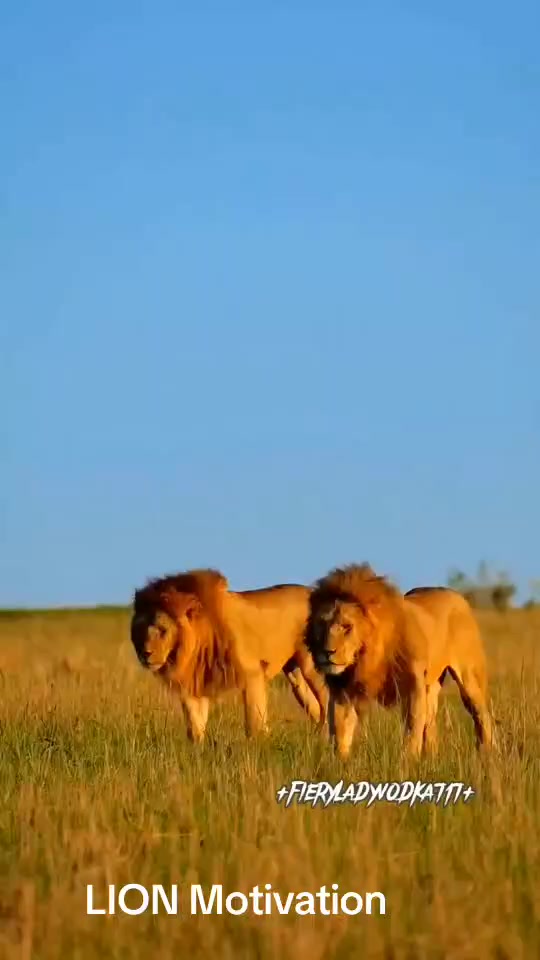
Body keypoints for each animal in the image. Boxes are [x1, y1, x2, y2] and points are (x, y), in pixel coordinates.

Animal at [131, 568, 328, 742]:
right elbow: (195, 725)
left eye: (162, 630)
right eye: (140, 630)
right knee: (314, 704)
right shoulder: (196, 682)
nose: (144, 653)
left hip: (311, 666)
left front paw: (257, 747)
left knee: (326, 698)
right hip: (295, 675)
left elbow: (254, 721)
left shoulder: (252, 674)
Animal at [305, 563, 494, 760]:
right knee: (430, 723)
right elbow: (340, 729)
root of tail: (456, 595)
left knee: (482, 715)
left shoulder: (413, 685)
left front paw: (408, 761)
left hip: (469, 678)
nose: (327, 652)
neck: (368, 658)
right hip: (431, 685)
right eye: (322, 625)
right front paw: (339, 761)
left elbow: (412, 726)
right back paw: (431, 758)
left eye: (347, 627)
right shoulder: (342, 691)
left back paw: (486, 754)